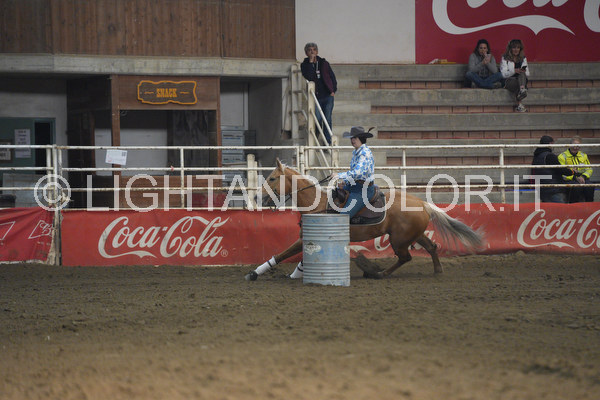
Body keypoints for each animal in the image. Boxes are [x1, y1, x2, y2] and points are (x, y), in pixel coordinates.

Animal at [245, 159, 484, 280]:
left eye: (272, 178)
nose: (257, 197)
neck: (317, 202)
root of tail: (422, 203)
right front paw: (296, 273)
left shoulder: (307, 237)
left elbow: (281, 254)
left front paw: (254, 273)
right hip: (414, 235)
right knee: (432, 247)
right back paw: (437, 271)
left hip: (399, 240)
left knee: (405, 257)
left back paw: (379, 273)